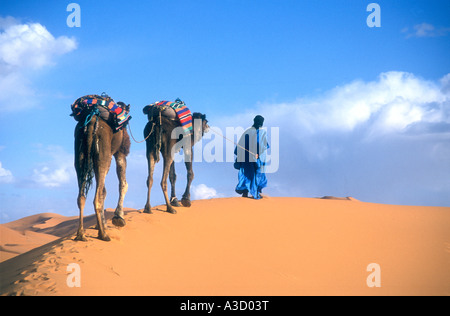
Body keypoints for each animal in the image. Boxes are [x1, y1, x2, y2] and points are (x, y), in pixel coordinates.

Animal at [72, 96, 131, 242]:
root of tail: (92, 121)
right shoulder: (120, 152)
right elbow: (123, 184)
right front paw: (118, 218)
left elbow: (105, 190)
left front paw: (102, 225)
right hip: (103, 156)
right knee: (97, 197)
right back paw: (103, 235)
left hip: (80, 155)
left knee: (81, 196)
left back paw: (81, 234)